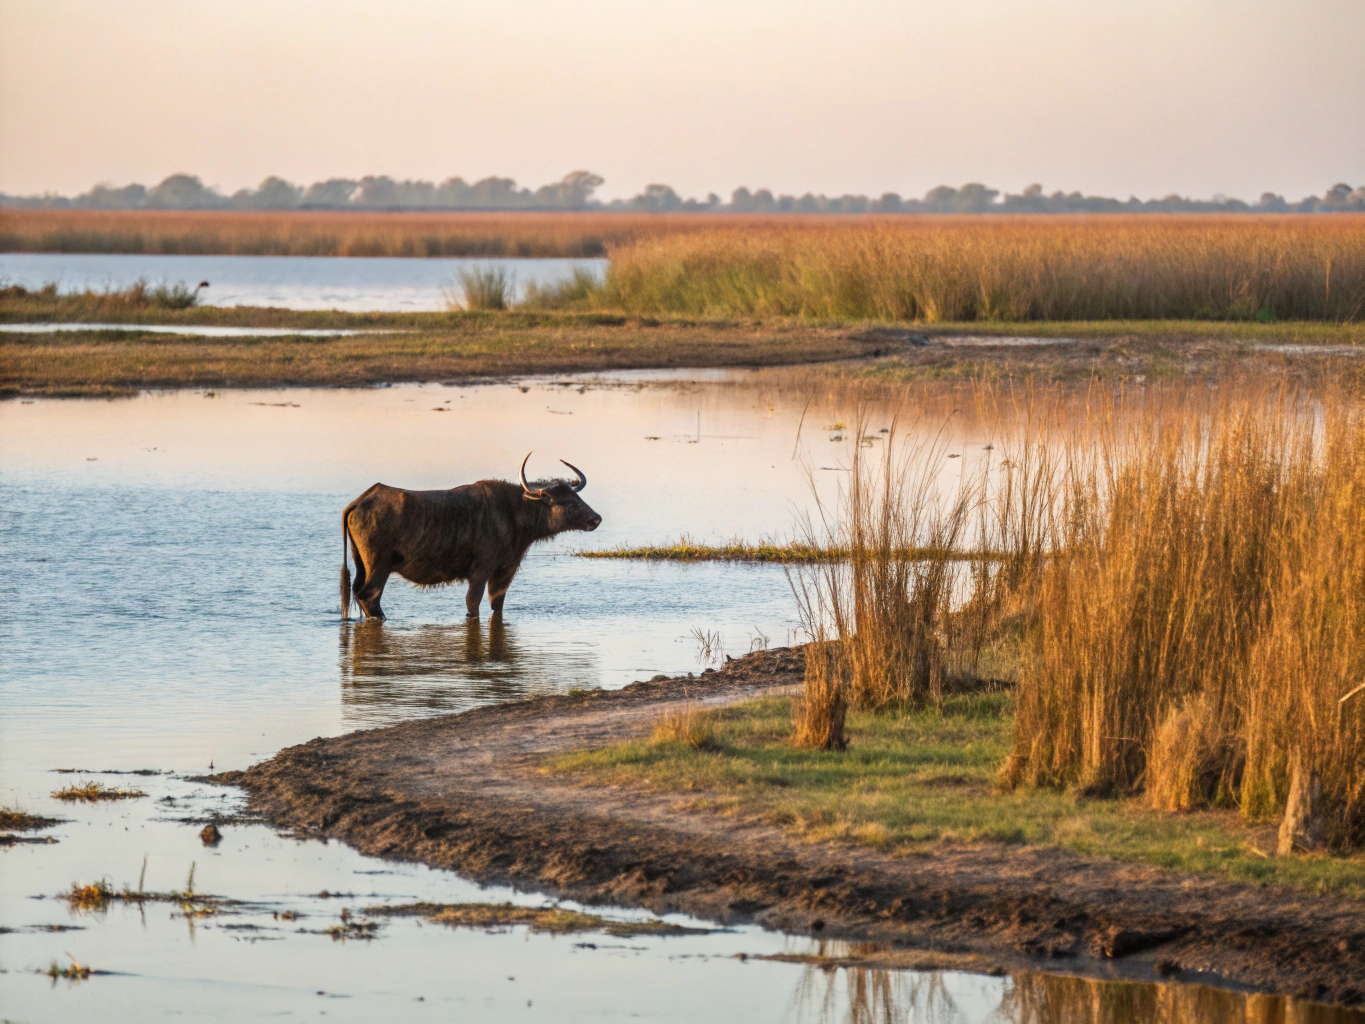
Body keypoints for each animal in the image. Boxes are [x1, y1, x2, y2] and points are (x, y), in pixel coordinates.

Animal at [341, 454, 601, 621]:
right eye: (565, 501)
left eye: (576, 497)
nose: (596, 519)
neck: (511, 512)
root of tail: (360, 501)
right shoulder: (480, 571)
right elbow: (473, 603)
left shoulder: (504, 571)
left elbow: (497, 604)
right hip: (379, 566)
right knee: (370, 596)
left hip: (361, 564)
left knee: (357, 591)